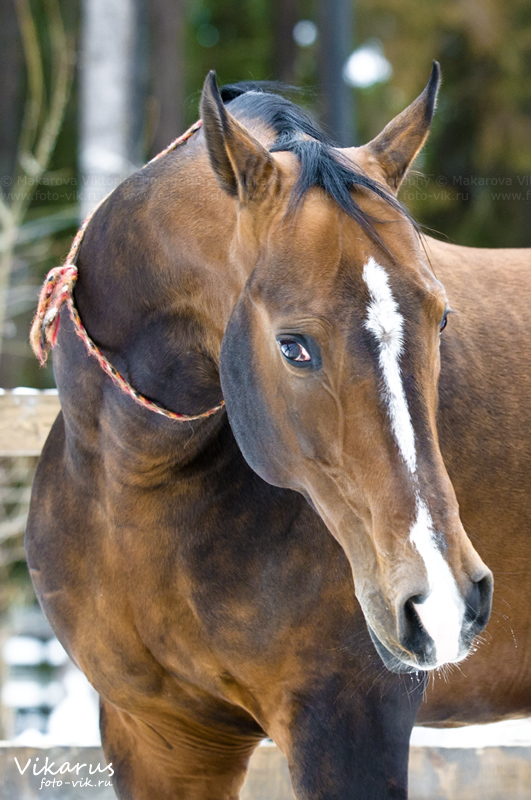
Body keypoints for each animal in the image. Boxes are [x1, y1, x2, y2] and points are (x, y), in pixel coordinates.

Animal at [26, 64, 531, 800]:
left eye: (440, 318)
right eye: (294, 346)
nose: (443, 600)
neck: (134, 485)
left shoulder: (346, 726)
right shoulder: (159, 736)